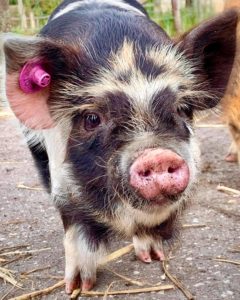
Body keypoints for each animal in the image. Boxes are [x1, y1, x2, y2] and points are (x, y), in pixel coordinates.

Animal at [1, 0, 238, 294]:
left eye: (183, 109)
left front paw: (152, 257)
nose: (156, 155)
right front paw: (79, 287)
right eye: (92, 119)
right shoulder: (61, 177)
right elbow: (74, 222)